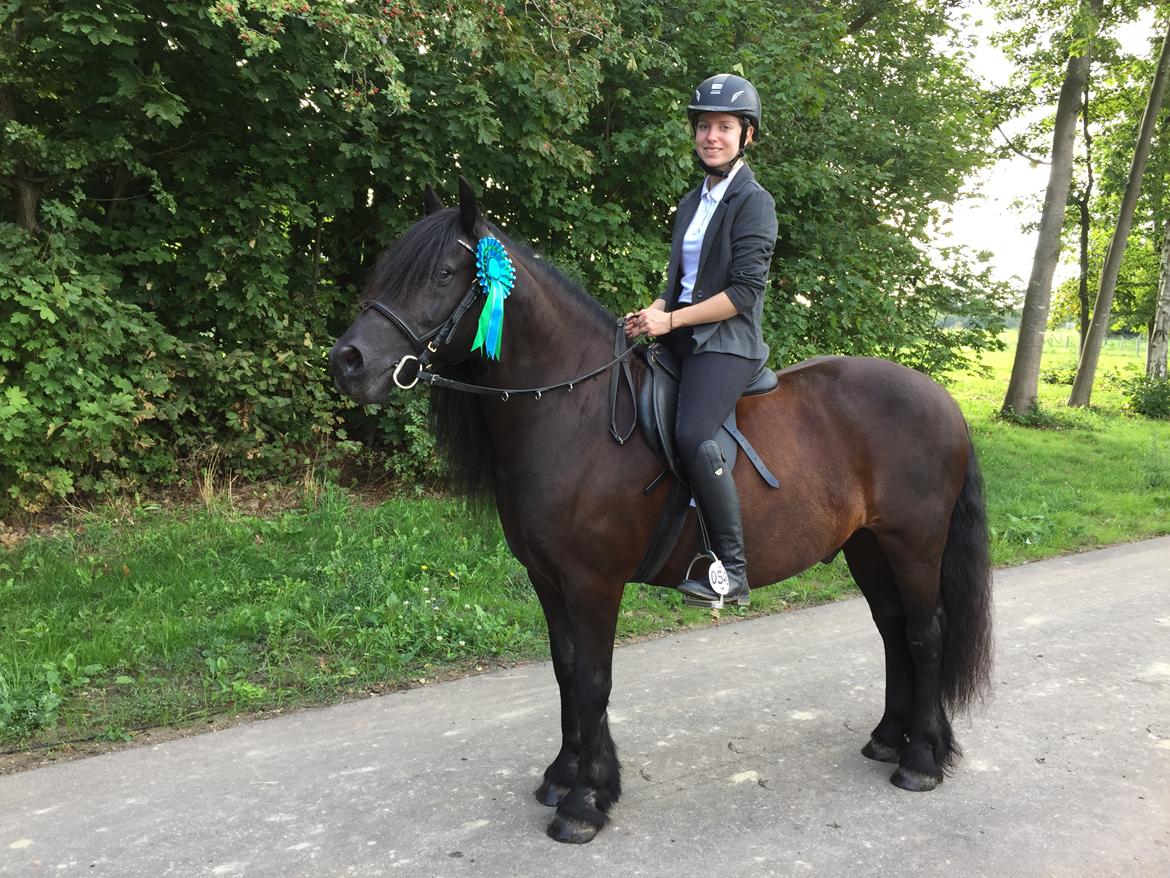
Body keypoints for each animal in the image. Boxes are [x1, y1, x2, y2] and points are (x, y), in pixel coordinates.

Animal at [329, 179, 993, 845]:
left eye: (443, 273)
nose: (347, 362)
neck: (575, 415)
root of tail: (941, 398)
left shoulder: (593, 582)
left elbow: (594, 680)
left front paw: (585, 802)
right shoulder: (547, 578)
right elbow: (565, 670)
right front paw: (564, 776)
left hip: (914, 544)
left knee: (924, 634)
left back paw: (921, 760)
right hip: (868, 546)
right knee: (893, 630)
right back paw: (888, 739)